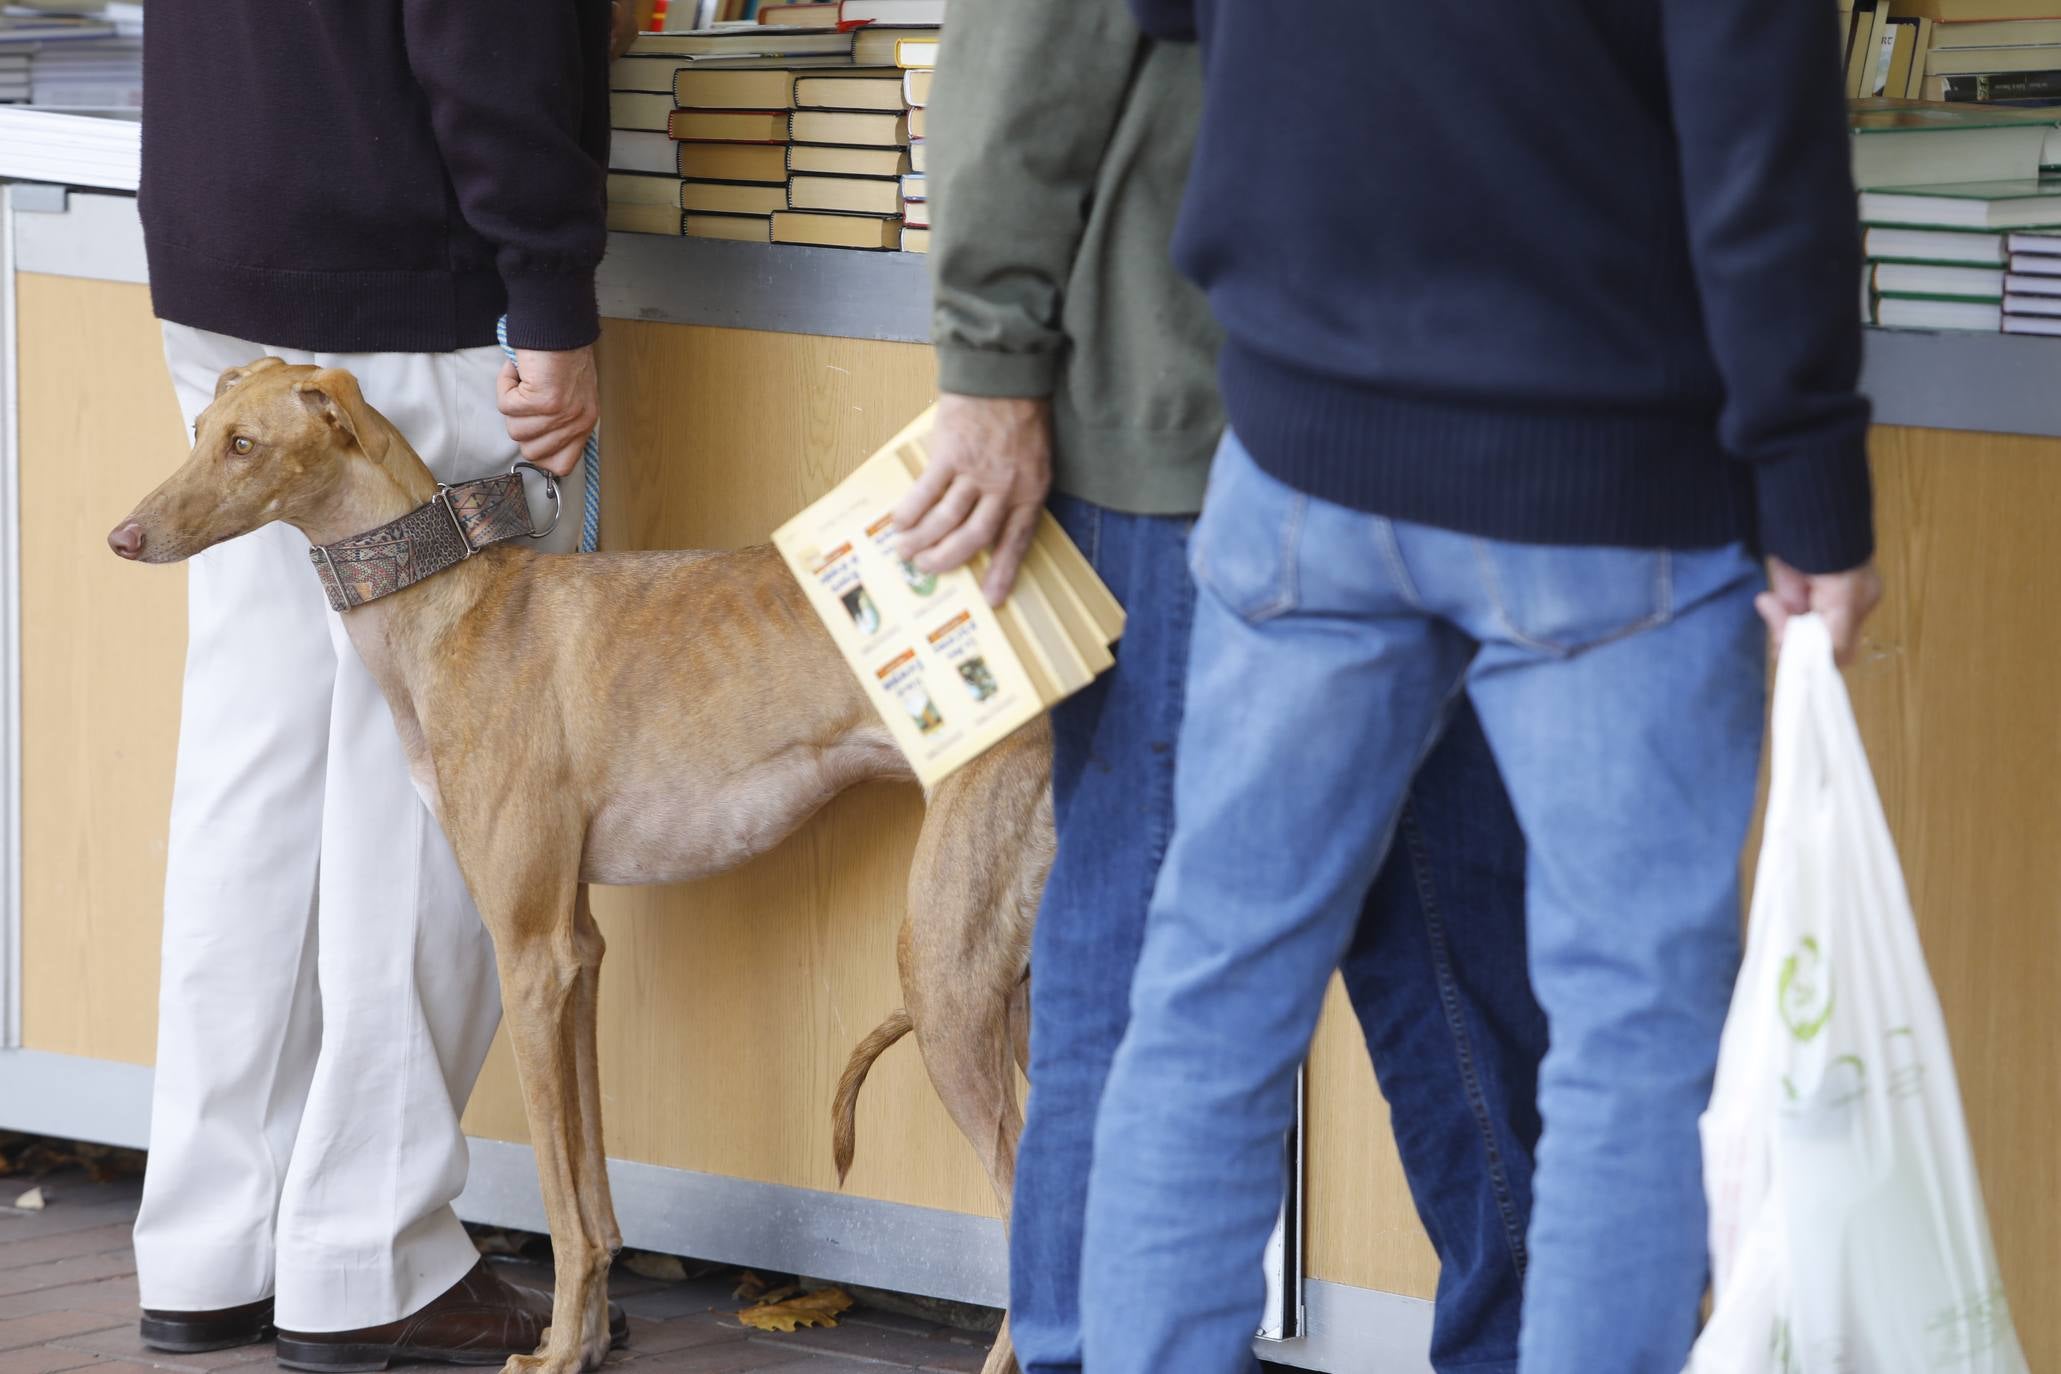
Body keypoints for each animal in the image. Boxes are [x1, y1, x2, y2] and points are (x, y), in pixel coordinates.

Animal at [112, 362, 1046, 1374]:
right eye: (201, 430)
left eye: (245, 445)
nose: (123, 537)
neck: (458, 606)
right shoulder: (582, 948)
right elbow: (594, 1191)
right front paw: (589, 1339)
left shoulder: (529, 953)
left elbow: (561, 1202)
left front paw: (556, 1350)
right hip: (1018, 987)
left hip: (944, 975)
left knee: (1023, 1202)